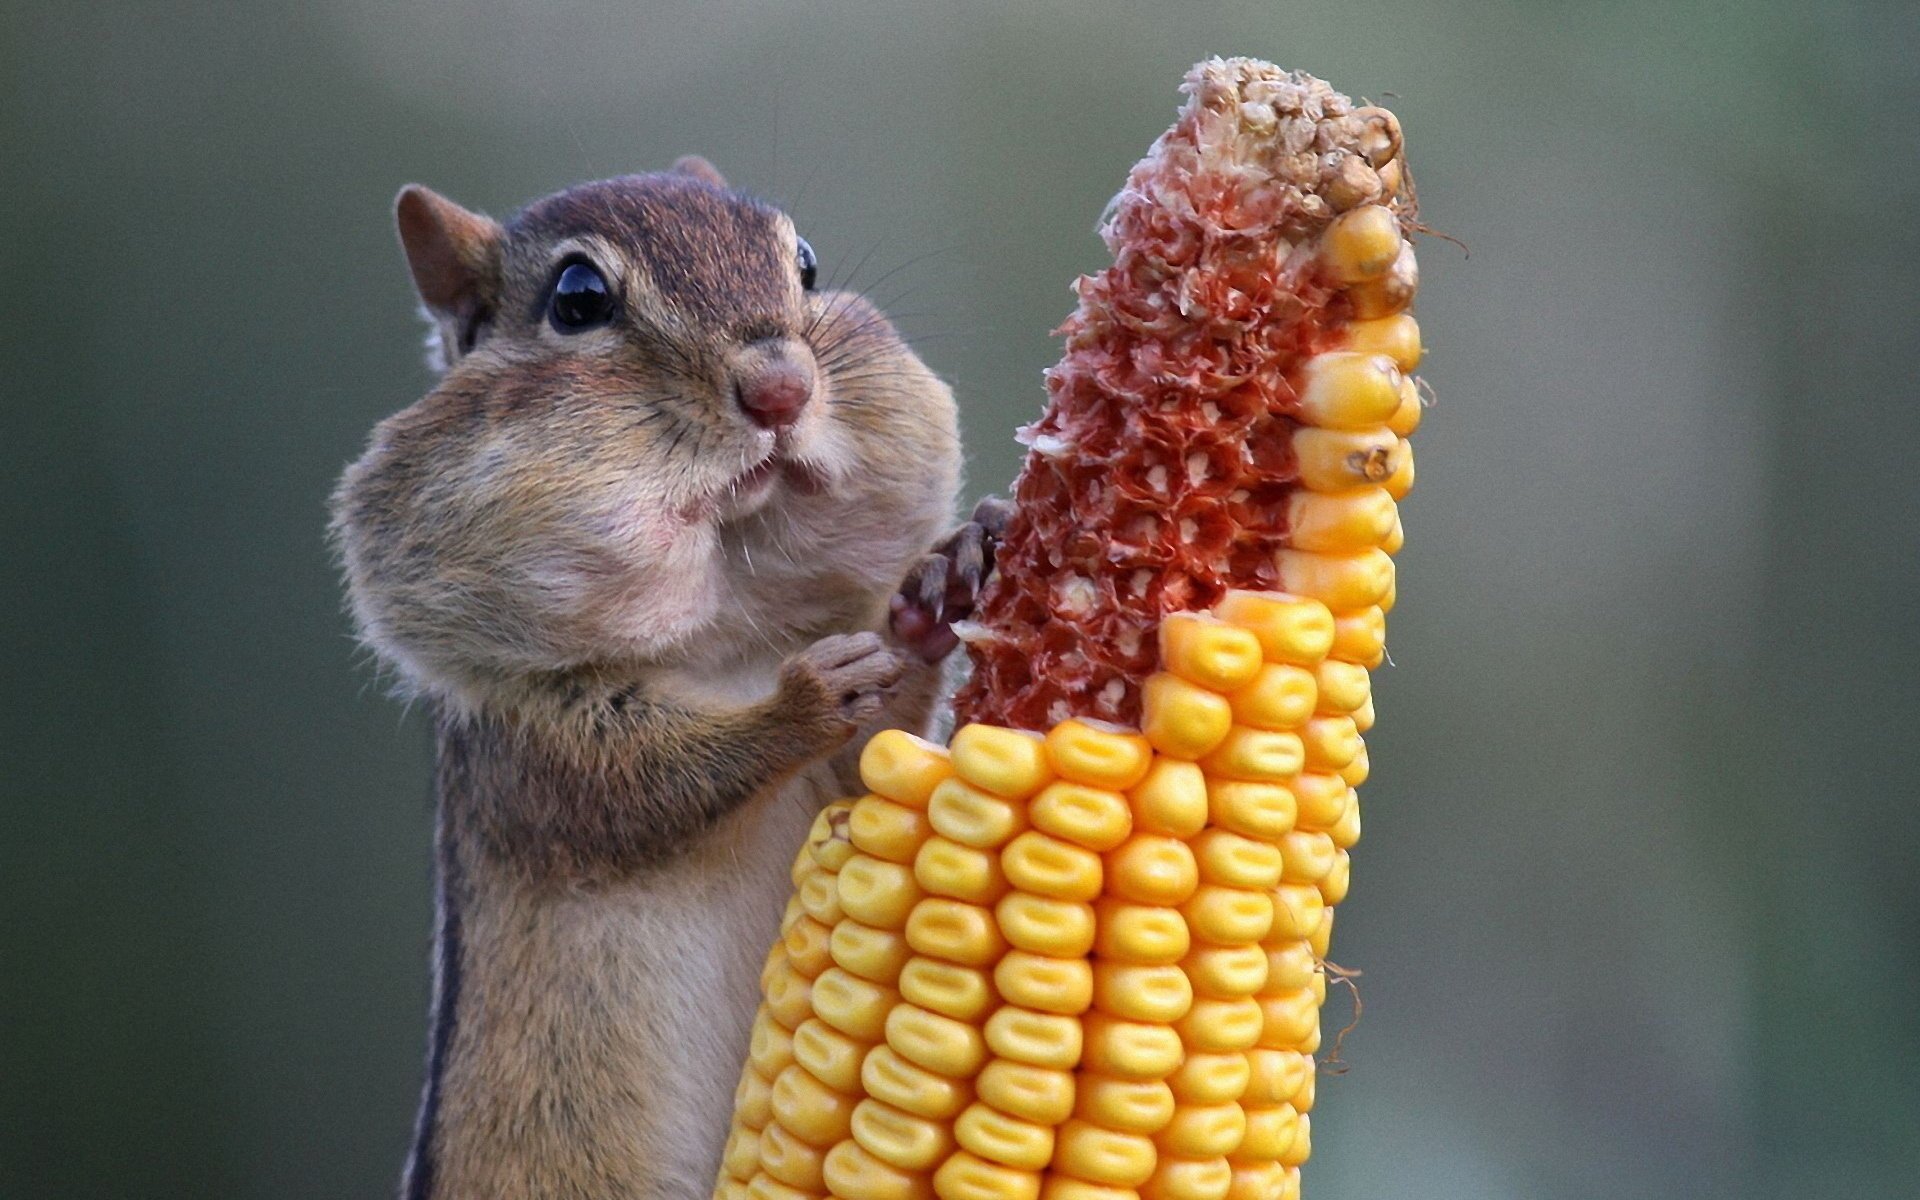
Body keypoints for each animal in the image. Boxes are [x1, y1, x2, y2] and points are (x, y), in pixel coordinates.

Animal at [330, 156, 1004, 1200]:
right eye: (577, 299)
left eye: (805, 264)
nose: (781, 388)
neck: (725, 642)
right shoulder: (529, 754)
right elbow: (645, 788)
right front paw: (802, 701)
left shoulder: (840, 780)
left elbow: (873, 760)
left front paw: (941, 582)